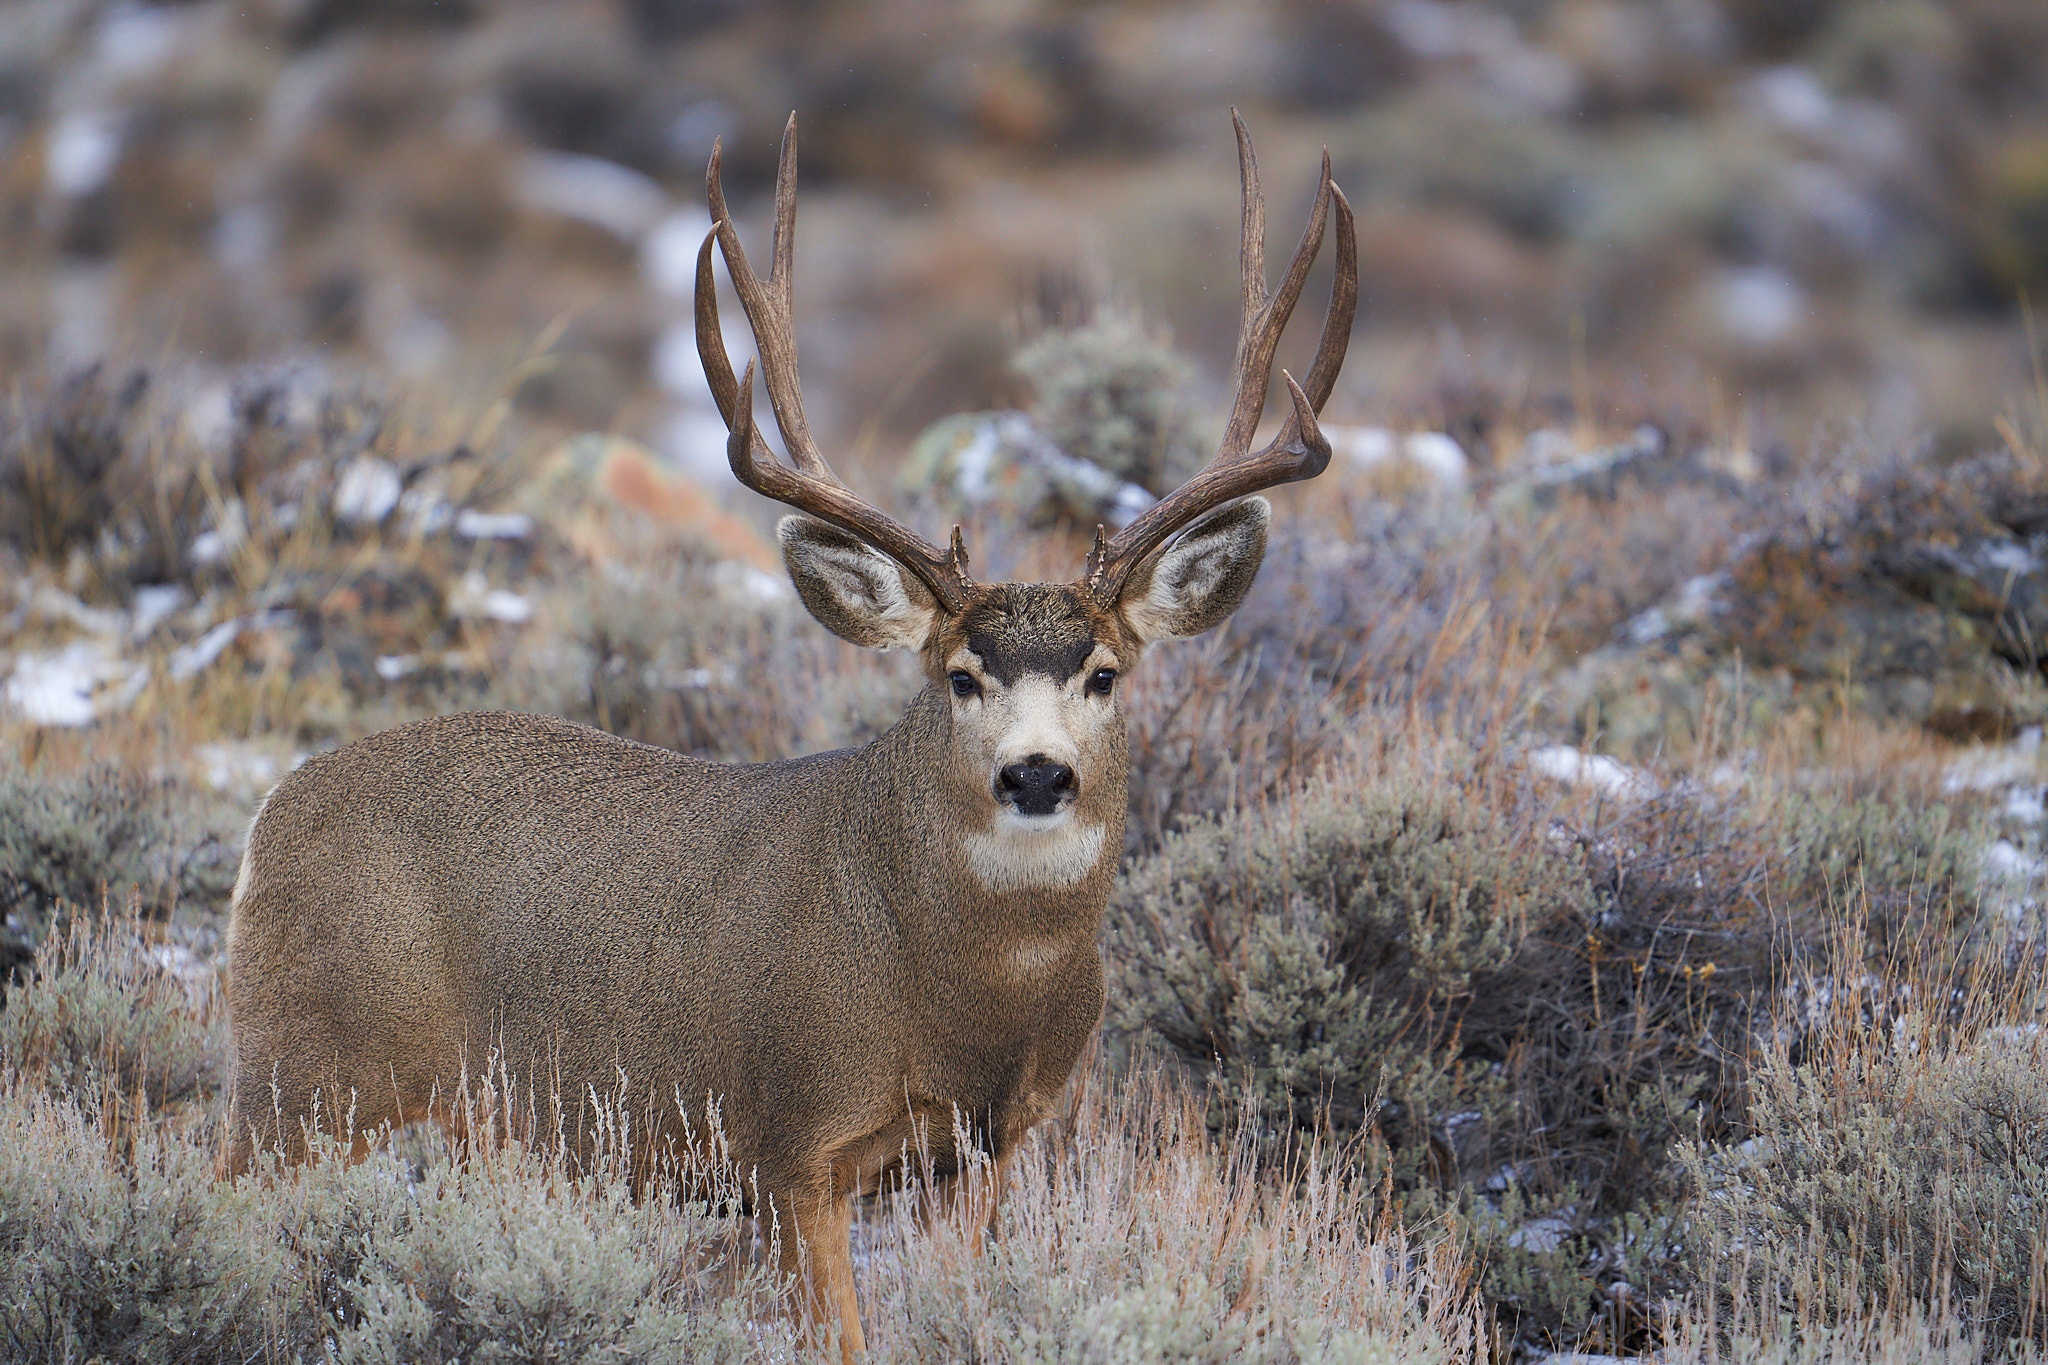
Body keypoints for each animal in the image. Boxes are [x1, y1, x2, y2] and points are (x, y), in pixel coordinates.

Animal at [223, 110, 1355, 1360]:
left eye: (1103, 674)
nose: (1034, 773)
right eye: (960, 677)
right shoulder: (788, 1141)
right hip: (303, 1076)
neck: (959, 993)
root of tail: (267, 820)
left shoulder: (993, 1150)